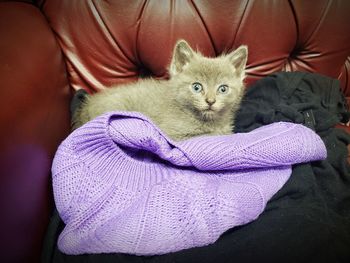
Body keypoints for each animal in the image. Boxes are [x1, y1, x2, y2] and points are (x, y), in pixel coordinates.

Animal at [73, 40, 249, 141]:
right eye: (197, 87)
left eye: (223, 89)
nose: (210, 101)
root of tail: (86, 107)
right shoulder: (173, 134)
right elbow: (208, 136)